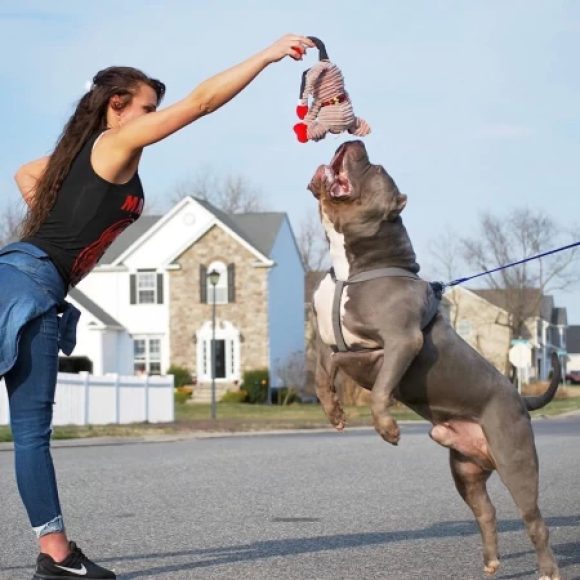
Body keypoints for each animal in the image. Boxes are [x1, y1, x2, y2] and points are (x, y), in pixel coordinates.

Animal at [308, 140, 560, 580]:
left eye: (375, 168)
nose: (355, 141)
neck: (353, 267)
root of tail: (520, 397)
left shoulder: (396, 345)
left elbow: (370, 385)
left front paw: (386, 427)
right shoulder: (329, 338)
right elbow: (324, 371)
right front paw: (334, 410)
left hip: (516, 460)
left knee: (534, 520)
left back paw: (547, 570)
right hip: (464, 469)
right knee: (486, 512)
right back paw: (491, 562)